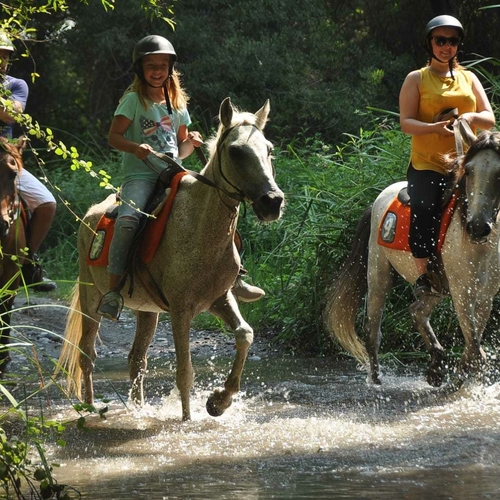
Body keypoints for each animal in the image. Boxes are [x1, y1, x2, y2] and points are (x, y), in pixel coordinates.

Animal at [57, 96, 286, 418]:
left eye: (269, 149)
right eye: (235, 151)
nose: (272, 202)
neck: (201, 227)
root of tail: (89, 215)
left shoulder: (219, 298)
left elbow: (245, 334)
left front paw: (219, 401)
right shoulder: (181, 310)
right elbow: (184, 372)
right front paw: (188, 420)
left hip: (147, 310)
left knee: (136, 359)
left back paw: (138, 410)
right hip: (91, 300)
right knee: (86, 355)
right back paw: (89, 409)